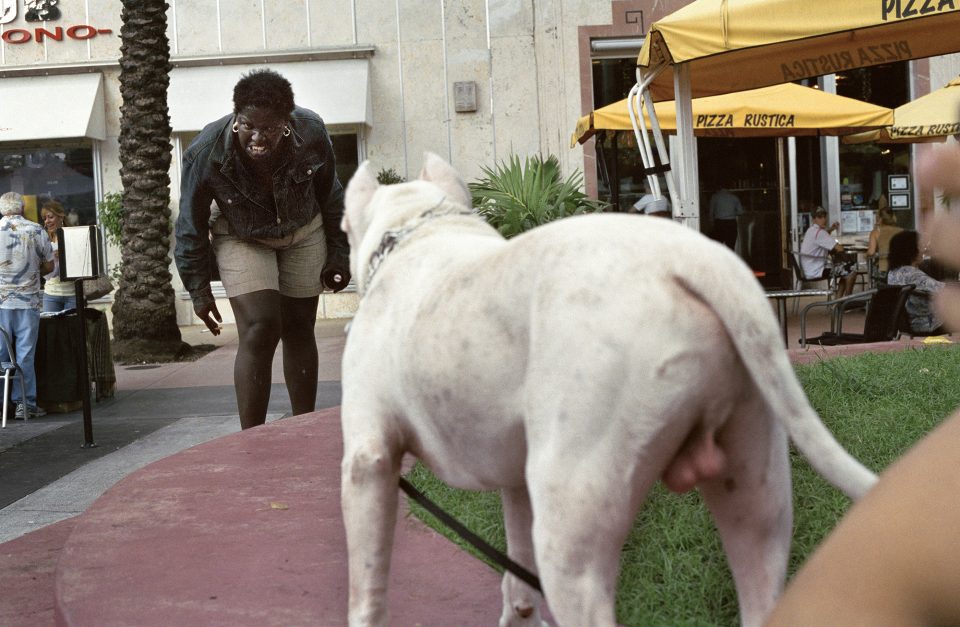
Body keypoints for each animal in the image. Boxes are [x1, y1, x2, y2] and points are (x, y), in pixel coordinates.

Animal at [339, 153, 877, 627]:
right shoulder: (516, 480)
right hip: (756, 485)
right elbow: (518, 568)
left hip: (574, 510)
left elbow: (365, 588)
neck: (419, 229)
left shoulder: (368, 460)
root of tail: (692, 260)